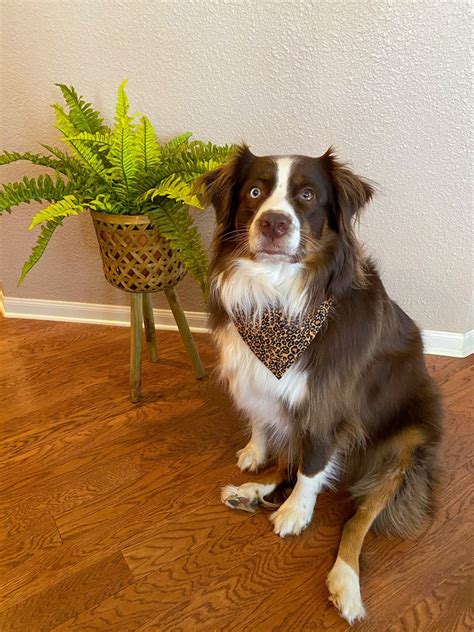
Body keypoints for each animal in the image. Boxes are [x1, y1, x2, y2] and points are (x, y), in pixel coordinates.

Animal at [202, 144, 442, 624]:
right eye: (255, 191)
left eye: (308, 195)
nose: (274, 223)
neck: (278, 298)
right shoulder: (262, 384)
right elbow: (266, 429)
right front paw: (256, 453)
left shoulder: (325, 405)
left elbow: (312, 468)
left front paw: (297, 511)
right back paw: (250, 494)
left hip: (408, 443)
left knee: (357, 520)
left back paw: (345, 583)